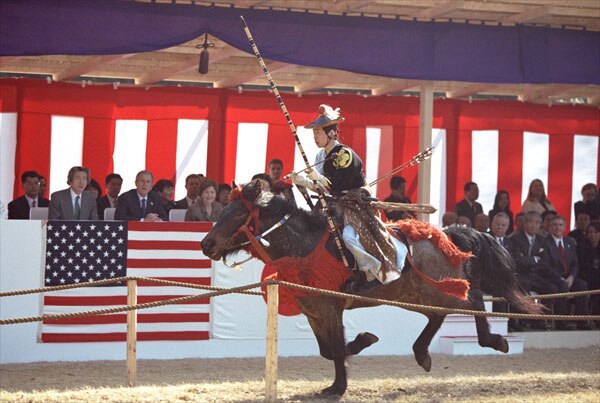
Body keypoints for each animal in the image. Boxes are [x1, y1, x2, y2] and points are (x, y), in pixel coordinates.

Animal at [200, 182, 540, 398]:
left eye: (237, 213)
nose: (206, 244)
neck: (302, 248)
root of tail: (448, 235)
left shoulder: (330, 308)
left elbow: (336, 348)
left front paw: (337, 388)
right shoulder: (315, 312)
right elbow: (328, 349)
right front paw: (363, 342)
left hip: (440, 288)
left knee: (473, 300)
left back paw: (494, 341)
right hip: (414, 295)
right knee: (437, 316)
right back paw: (422, 354)